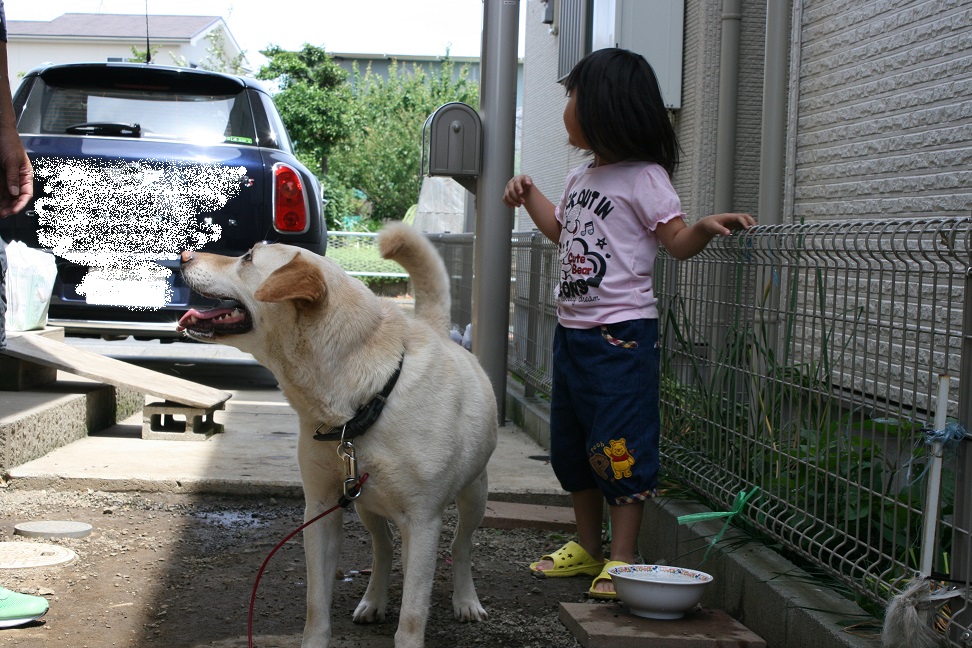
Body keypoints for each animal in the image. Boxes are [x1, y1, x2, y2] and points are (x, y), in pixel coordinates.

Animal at [178, 224, 498, 648]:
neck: (364, 401)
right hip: (364, 505)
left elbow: (412, 617)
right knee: (383, 548)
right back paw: (374, 600)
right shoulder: (321, 510)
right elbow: (317, 604)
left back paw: (465, 600)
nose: (183, 255)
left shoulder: (423, 522)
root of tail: (436, 329)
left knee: (461, 546)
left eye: (247, 257)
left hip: (474, 494)